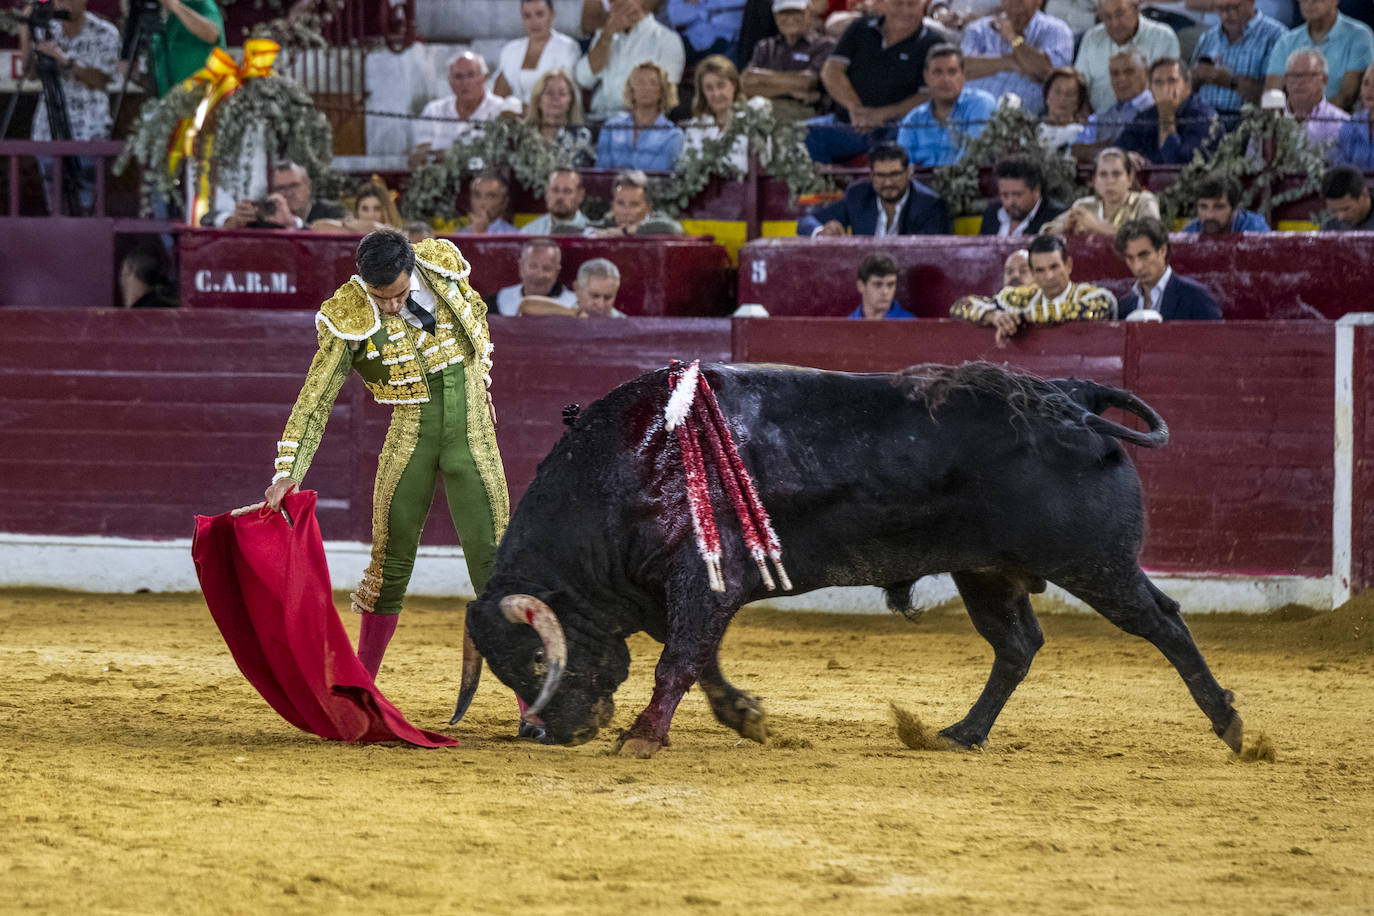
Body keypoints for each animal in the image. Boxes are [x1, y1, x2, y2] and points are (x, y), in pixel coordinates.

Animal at [453, 362, 1247, 758]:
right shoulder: (693, 593)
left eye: (536, 658)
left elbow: (678, 662)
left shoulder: (703, 583)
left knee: (1164, 622)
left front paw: (642, 739)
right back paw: (961, 734)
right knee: (1018, 644)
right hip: (986, 574)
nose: (552, 732)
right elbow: (701, 661)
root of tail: (1072, 397)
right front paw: (746, 717)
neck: (626, 469)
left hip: (1096, 564)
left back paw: (1231, 727)